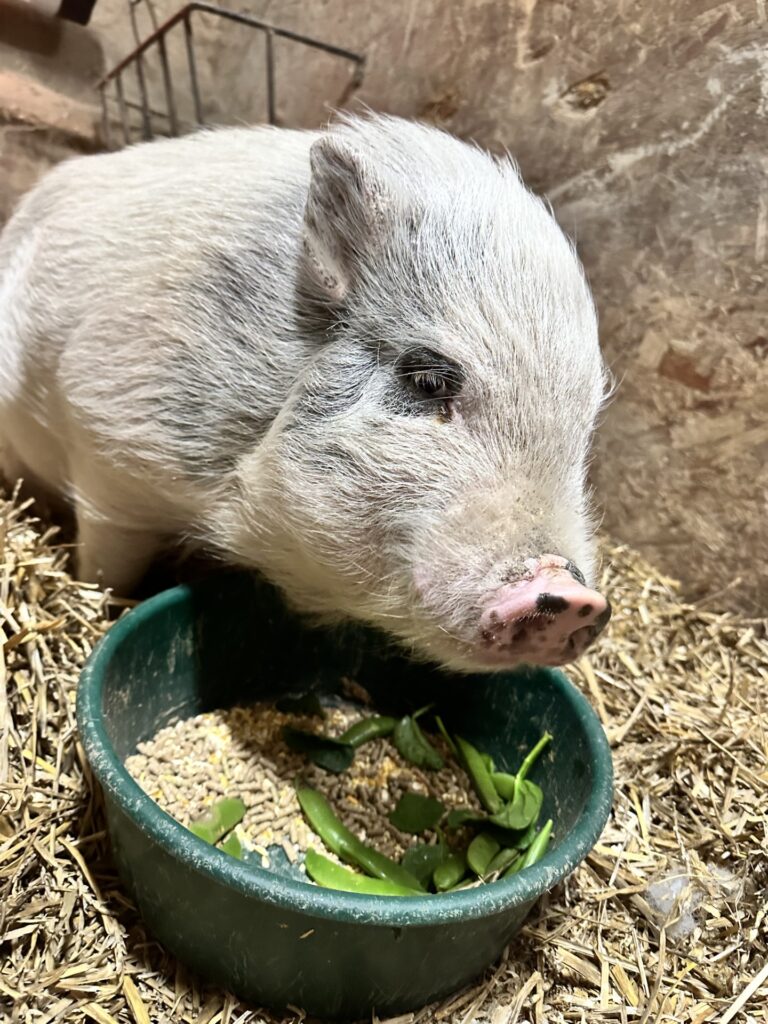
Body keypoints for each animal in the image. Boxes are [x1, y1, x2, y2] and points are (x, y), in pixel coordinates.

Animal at [0, 114, 614, 671]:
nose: (578, 600)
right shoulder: (106, 441)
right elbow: (107, 565)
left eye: (585, 431)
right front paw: (106, 602)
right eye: (429, 380)